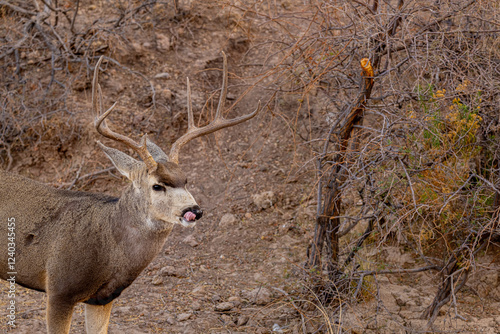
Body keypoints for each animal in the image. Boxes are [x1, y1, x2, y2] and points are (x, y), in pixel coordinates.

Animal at [0, 53, 258, 332]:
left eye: (187, 180)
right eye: (157, 185)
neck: (107, 248)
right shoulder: (59, 289)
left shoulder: (102, 298)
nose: (194, 211)